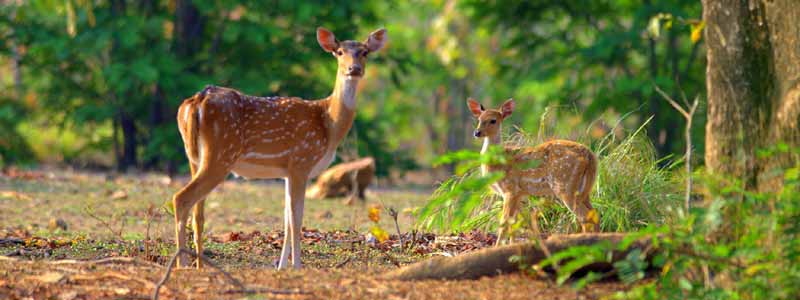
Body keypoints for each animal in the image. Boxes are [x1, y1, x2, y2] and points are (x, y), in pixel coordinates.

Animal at [174, 27, 388, 268]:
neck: (329, 124)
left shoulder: (287, 171)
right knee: (181, 199)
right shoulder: (302, 161)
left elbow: (286, 219)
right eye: (339, 52)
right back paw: (181, 265)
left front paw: (281, 266)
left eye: (365, 52)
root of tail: (196, 101)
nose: (354, 69)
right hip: (221, 154)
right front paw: (297, 266)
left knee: (197, 212)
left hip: (194, 156)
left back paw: (198, 265)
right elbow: (296, 219)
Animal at [468, 97, 600, 245]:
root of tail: (590, 157)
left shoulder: (510, 189)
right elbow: (515, 224)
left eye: (493, 120)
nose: (477, 132)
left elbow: (504, 224)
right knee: (595, 215)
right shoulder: (520, 194)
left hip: (565, 186)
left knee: (585, 217)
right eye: (479, 119)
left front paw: (498, 247)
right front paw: (513, 246)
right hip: (585, 189)